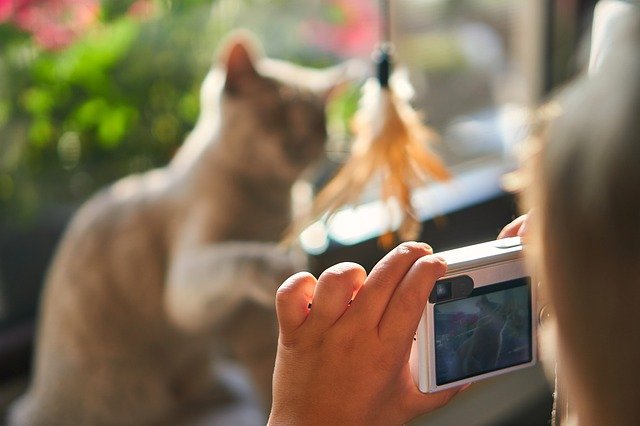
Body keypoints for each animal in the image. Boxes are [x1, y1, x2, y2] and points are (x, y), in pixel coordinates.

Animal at [7, 34, 352, 426]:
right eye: (275, 116)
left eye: (318, 126)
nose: (299, 144)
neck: (268, 203)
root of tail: (32, 401)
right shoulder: (187, 280)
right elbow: (233, 255)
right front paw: (277, 262)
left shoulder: (255, 325)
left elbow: (272, 375)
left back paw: (217, 391)